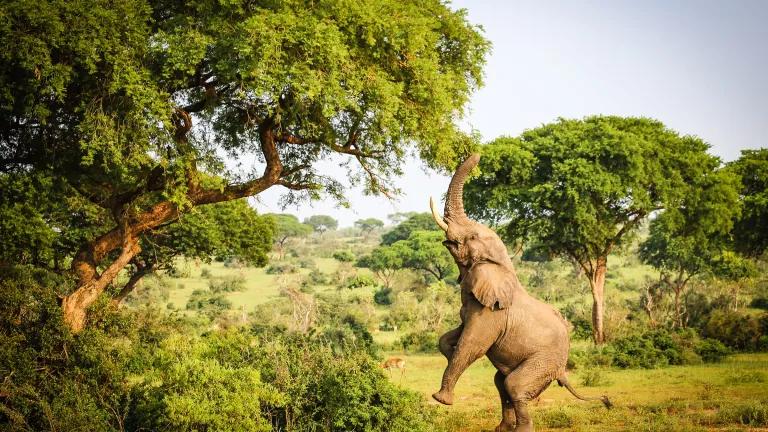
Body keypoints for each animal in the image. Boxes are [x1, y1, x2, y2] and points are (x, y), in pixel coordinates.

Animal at [428, 154, 608, 430]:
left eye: (472, 236)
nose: (479, 154)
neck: (502, 264)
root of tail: (562, 371)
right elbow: (454, 335)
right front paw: (449, 351)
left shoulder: (492, 312)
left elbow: (473, 344)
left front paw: (441, 399)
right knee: (501, 382)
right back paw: (502, 429)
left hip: (542, 362)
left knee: (514, 385)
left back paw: (520, 428)